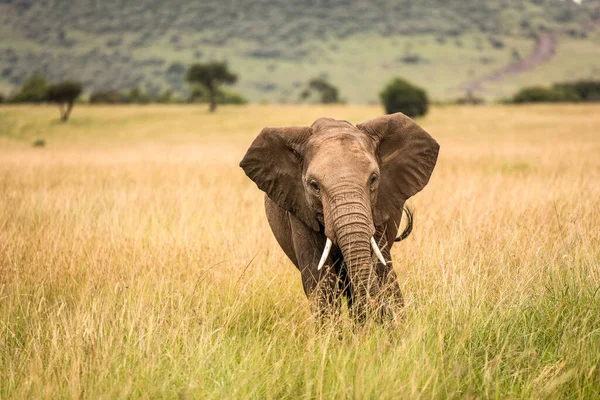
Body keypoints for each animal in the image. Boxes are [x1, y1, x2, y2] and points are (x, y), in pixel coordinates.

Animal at [240, 112, 440, 322]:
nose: (375, 306)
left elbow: (381, 268)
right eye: (314, 185)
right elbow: (320, 279)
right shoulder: (299, 208)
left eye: (373, 179)